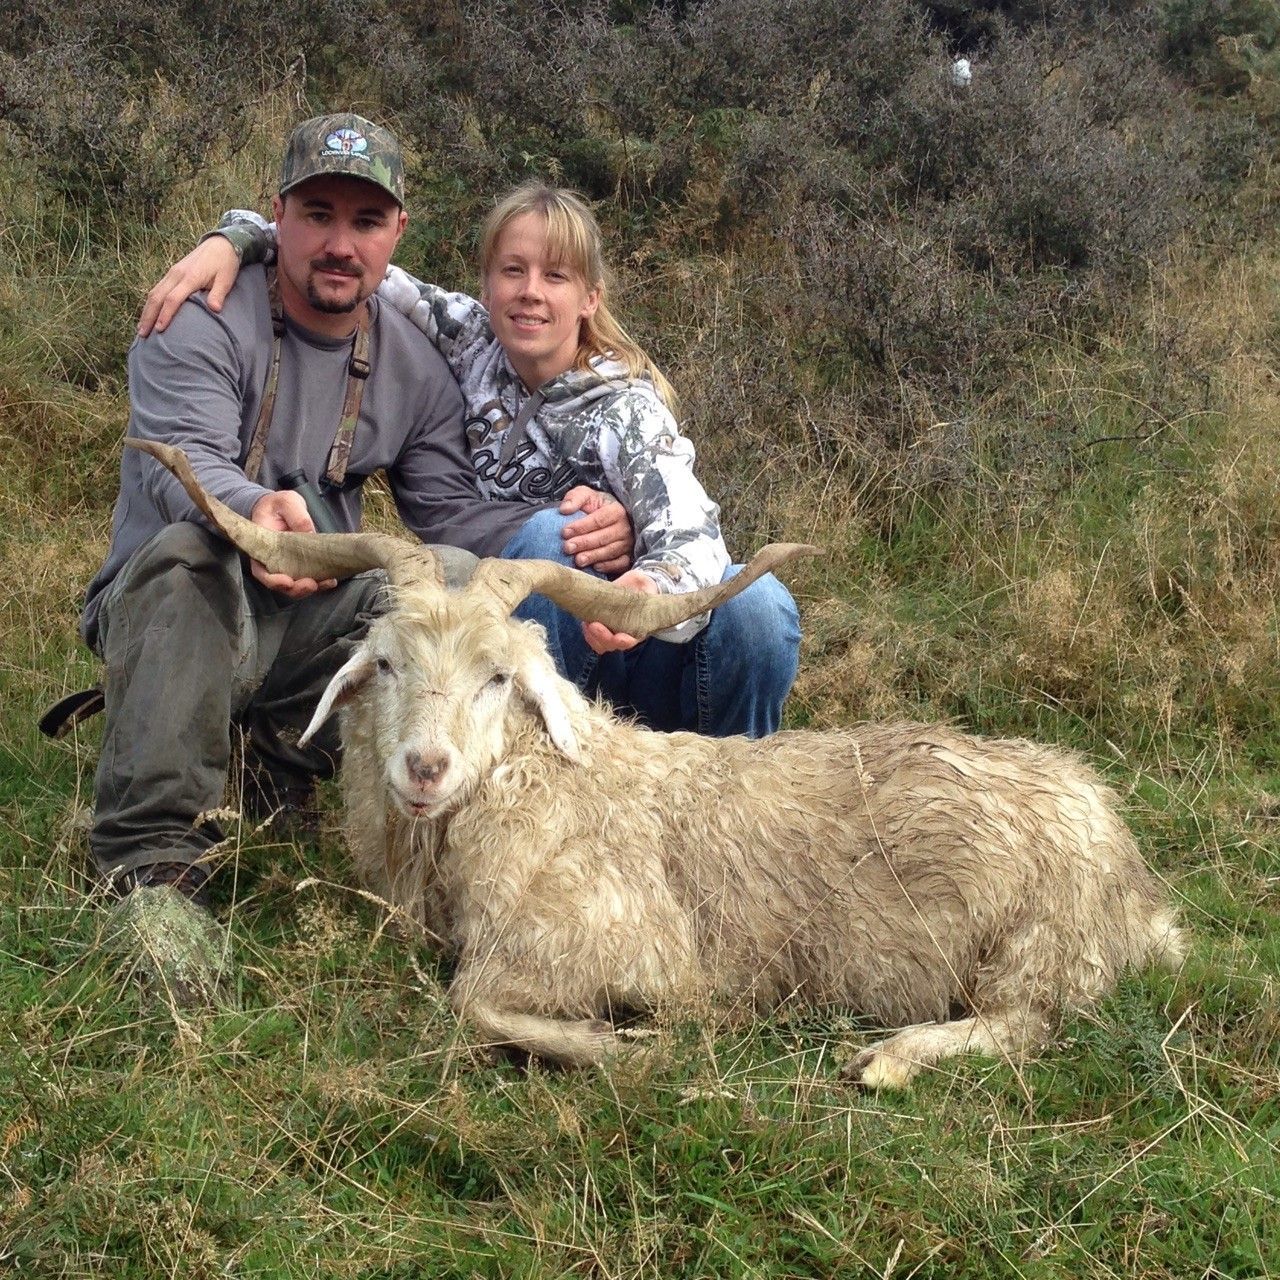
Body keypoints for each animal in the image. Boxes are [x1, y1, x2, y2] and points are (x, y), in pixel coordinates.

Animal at [127, 438, 1185, 1087]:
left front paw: (633, 1045)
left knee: (1029, 1023)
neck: (541, 787)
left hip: (1038, 943)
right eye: (385, 662)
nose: (424, 770)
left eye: (499, 677)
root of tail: (1134, 878)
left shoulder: (614, 947)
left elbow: (474, 1003)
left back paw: (889, 1057)